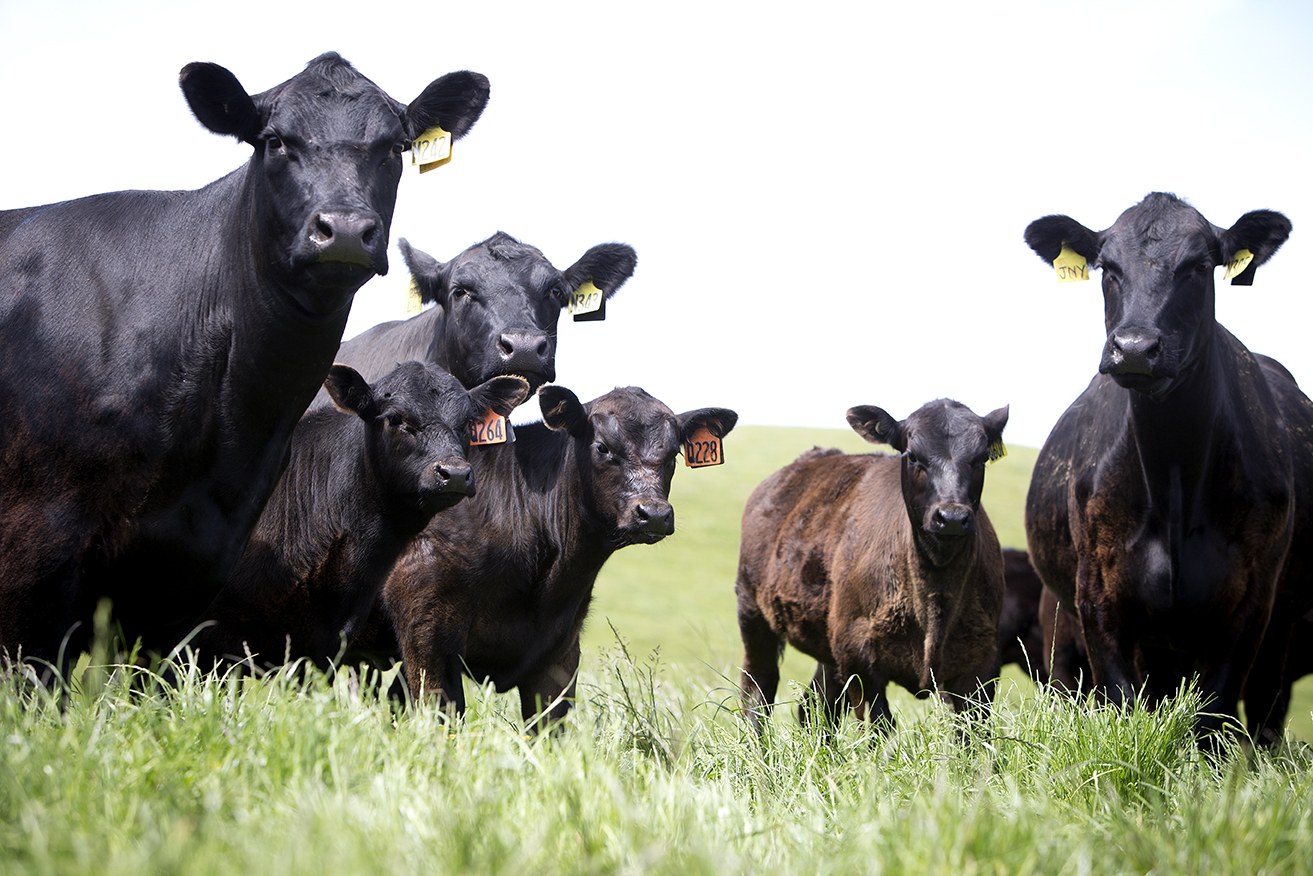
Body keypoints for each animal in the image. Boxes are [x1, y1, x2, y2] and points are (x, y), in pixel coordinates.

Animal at [736, 399, 1009, 734]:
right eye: (912, 455)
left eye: (982, 457)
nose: (953, 517)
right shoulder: (858, 656)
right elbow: (882, 728)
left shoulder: (981, 662)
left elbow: (973, 734)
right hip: (753, 613)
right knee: (758, 688)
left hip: (828, 639)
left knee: (815, 706)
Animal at [1023, 192, 1313, 743]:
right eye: (1108, 268)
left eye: (1198, 267)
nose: (1135, 349)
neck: (1172, 471)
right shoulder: (1098, 596)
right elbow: (1121, 704)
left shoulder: (1252, 603)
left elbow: (1211, 715)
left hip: (1278, 636)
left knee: (1265, 716)